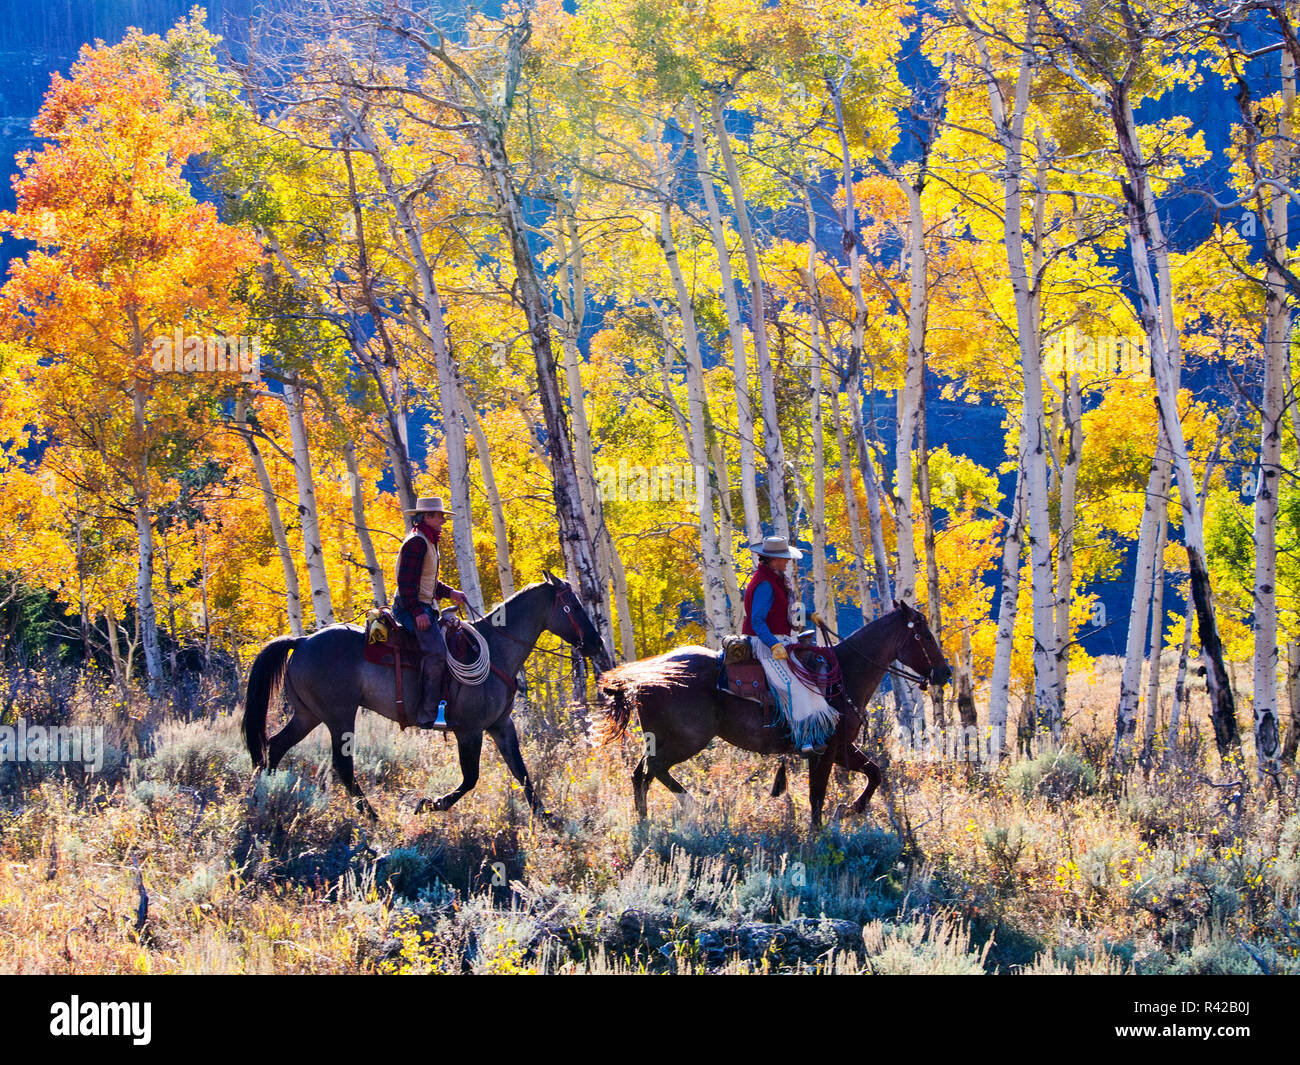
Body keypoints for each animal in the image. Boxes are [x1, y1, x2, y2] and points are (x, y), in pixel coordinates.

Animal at [242, 571, 611, 822]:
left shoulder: (501, 726)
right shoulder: (469, 731)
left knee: (274, 746)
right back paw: (372, 816)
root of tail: (302, 641)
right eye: (571, 607)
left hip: (308, 715)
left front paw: (547, 818)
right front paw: (429, 804)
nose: (595, 644)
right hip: (339, 717)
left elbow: (521, 773)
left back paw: (264, 796)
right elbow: (471, 778)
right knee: (342, 766)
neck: (496, 649)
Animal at [591, 600, 951, 828]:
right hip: (686, 740)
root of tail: (644, 678)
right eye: (924, 635)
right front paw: (823, 832)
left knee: (641, 775)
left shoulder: (838, 749)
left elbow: (874, 773)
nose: (945, 673)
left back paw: (645, 825)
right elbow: (817, 797)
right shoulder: (827, 751)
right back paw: (693, 807)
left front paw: (850, 810)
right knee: (654, 770)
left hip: (661, 739)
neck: (844, 674)